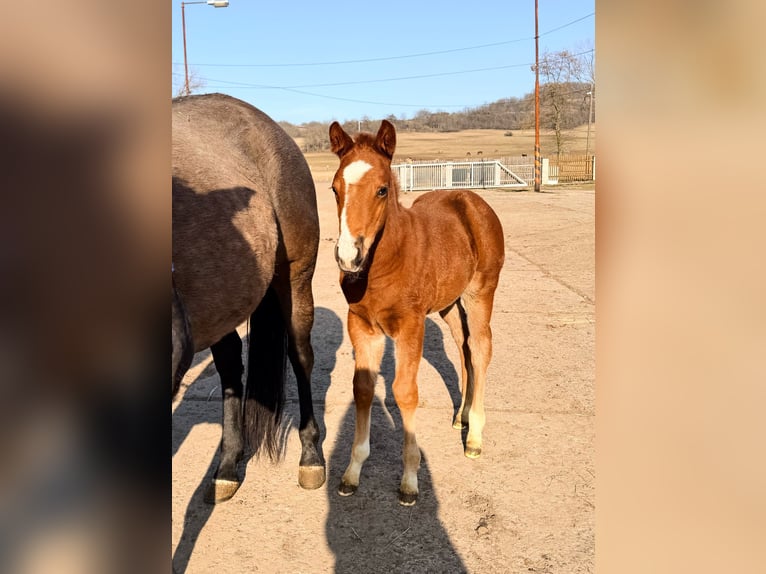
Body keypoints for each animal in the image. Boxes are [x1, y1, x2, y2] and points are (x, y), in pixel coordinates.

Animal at [328, 120, 505, 506]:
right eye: (335, 188)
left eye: (381, 190)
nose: (348, 257)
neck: (384, 264)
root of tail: (471, 198)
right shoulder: (361, 325)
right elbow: (363, 387)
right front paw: (352, 472)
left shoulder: (410, 325)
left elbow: (405, 392)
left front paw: (409, 479)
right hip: (449, 304)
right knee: (463, 346)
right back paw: (461, 417)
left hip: (480, 293)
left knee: (480, 347)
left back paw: (474, 436)